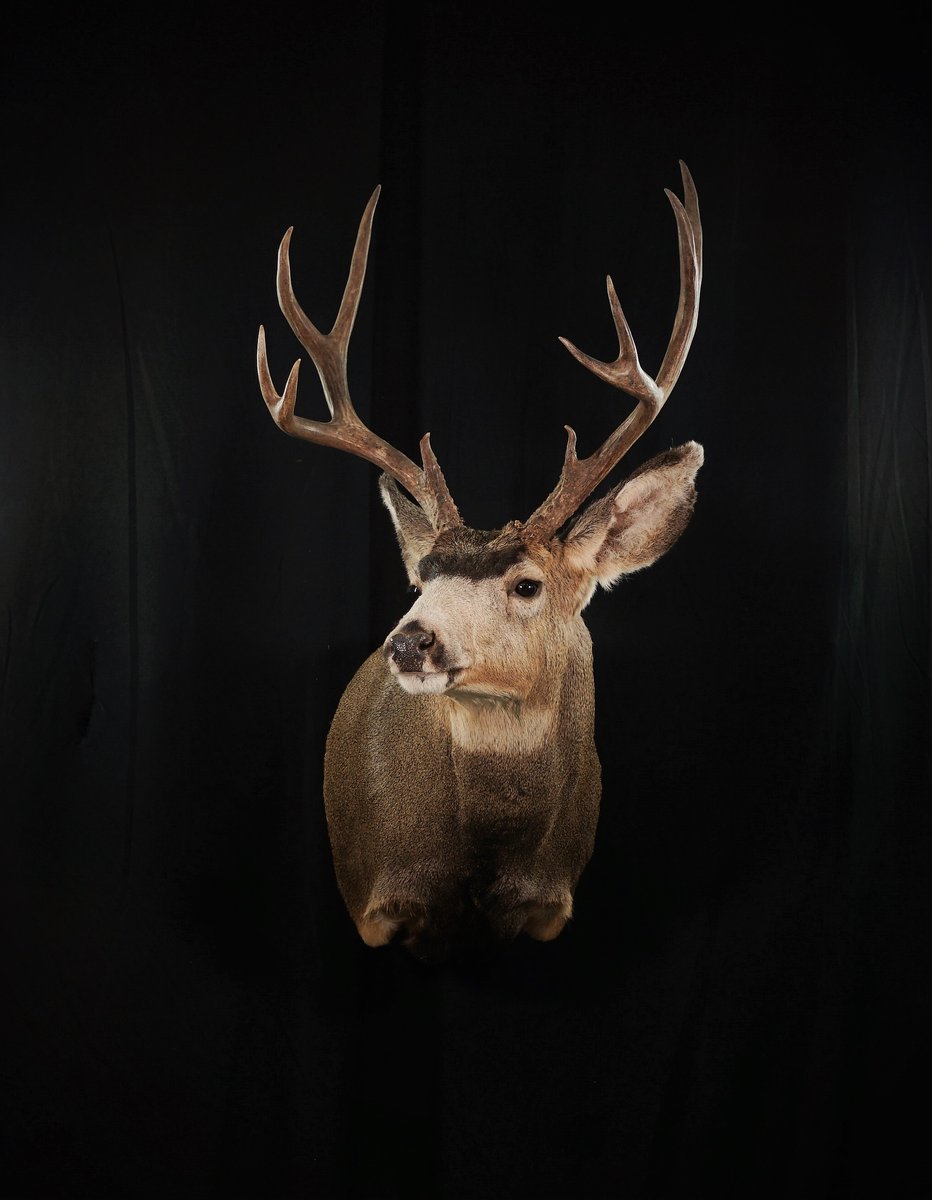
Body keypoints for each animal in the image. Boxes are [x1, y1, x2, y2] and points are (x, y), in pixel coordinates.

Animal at [257, 162, 703, 961]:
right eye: (420, 577)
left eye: (527, 584)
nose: (409, 641)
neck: (483, 861)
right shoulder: (373, 906)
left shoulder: (551, 908)